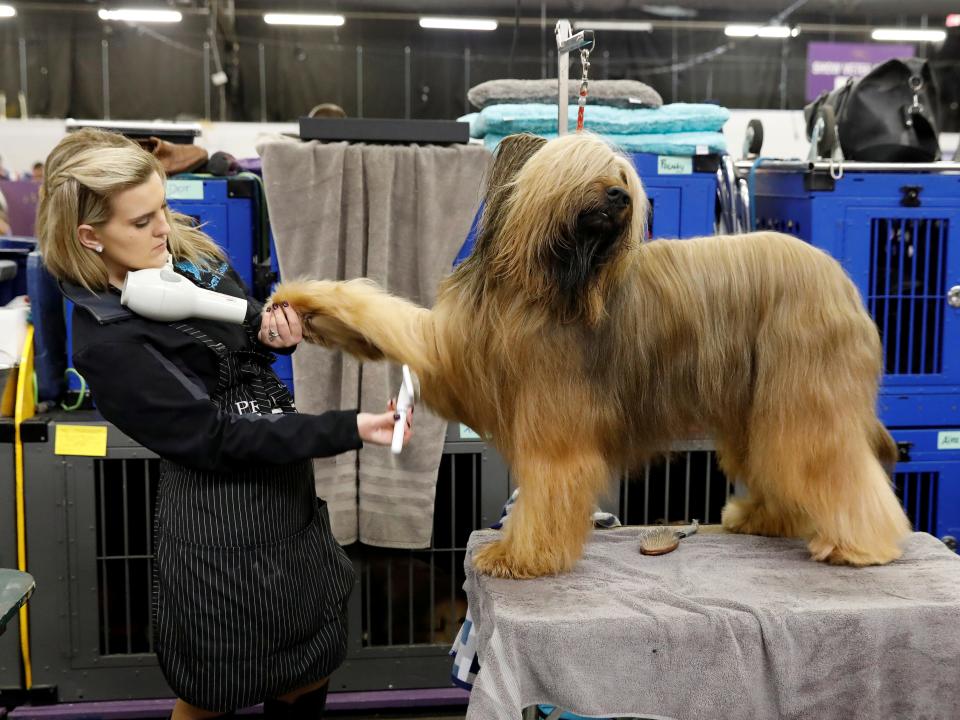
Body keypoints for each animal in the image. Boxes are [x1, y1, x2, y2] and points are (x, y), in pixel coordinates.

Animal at [268, 131, 908, 580]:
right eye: (580, 172)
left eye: (620, 173)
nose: (621, 195)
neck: (548, 284)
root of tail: (841, 281)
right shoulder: (463, 353)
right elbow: (388, 319)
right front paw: (305, 306)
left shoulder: (555, 421)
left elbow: (550, 489)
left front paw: (522, 555)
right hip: (759, 409)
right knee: (786, 466)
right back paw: (765, 519)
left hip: (803, 397)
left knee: (831, 465)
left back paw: (861, 544)